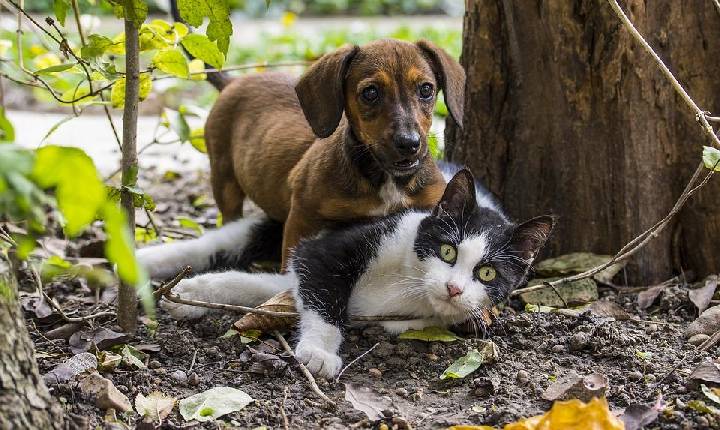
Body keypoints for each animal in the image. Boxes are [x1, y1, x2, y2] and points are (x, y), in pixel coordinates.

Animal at [136, 167, 552, 376]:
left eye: (487, 274)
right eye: (447, 250)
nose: (453, 288)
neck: (410, 282)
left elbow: (277, 287)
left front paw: (196, 293)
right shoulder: (331, 248)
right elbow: (322, 293)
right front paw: (319, 352)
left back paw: (185, 293)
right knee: (219, 243)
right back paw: (142, 263)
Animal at [205, 38, 464, 264]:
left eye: (426, 89)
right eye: (370, 93)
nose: (409, 143)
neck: (385, 179)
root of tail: (232, 82)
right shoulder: (302, 216)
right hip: (224, 180)